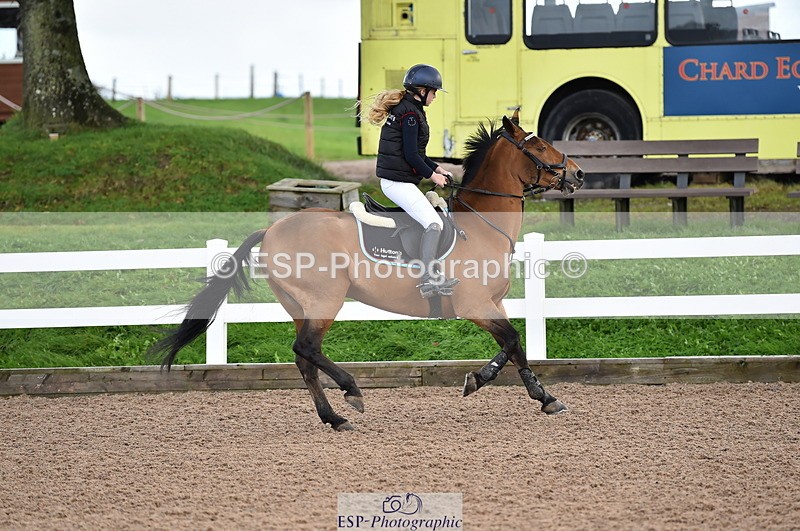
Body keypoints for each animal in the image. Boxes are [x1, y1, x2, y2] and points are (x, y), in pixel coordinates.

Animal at [150, 110, 585, 431]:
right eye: (540, 145)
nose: (577, 173)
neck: (480, 225)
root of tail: (272, 229)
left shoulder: (494, 303)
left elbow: (516, 346)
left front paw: (537, 395)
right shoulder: (475, 305)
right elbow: (511, 341)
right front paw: (488, 382)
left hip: (298, 305)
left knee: (304, 359)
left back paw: (334, 418)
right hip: (325, 300)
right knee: (307, 349)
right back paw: (351, 392)